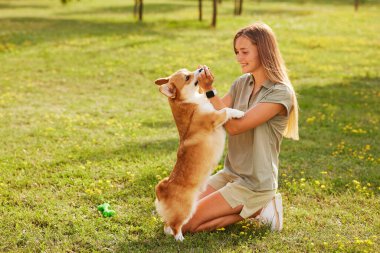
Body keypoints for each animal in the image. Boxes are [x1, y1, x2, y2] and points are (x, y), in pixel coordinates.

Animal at [154, 67, 245, 241]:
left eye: (188, 70)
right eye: (187, 77)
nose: (201, 68)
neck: (191, 102)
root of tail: (164, 187)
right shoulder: (214, 118)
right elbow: (226, 110)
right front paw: (238, 112)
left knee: (167, 225)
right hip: (186, 209)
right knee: (175, 225)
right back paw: (180, 238)